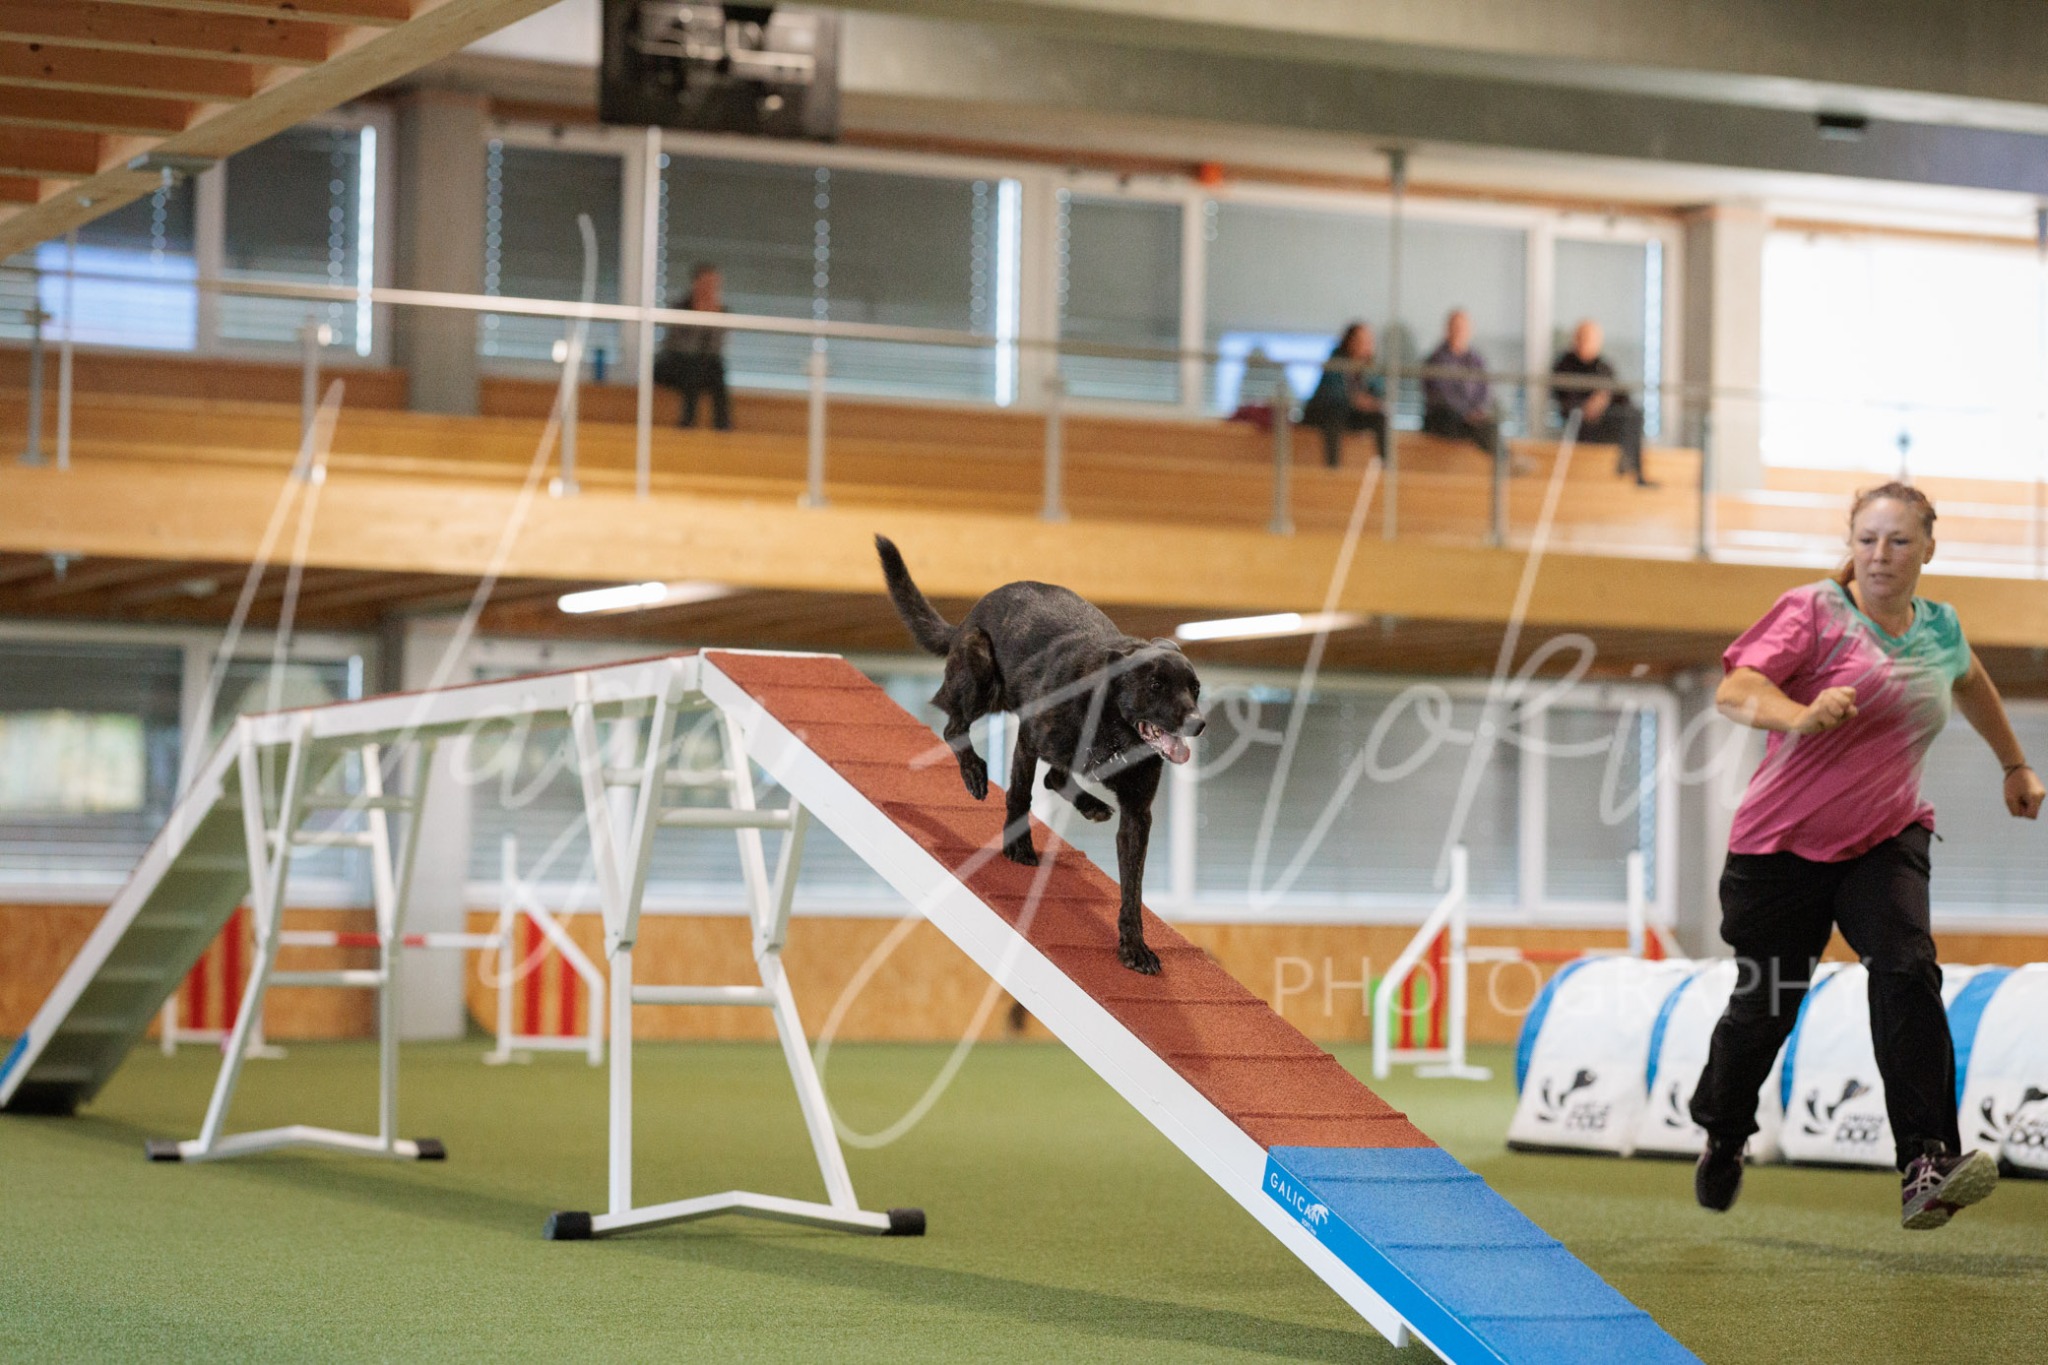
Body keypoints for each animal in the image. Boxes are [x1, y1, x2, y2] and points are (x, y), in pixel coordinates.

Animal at [875, 535, 1204, 974]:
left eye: (1195, 689)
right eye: (1155, 685)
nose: (1199, 723)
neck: (1111, 722)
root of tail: (967, 618)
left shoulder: (1137, 813)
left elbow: (1133, 889)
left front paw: (1134, 946)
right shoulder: (1030, 738)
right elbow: (1019, 794)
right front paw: (1018, 846)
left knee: (1055, 776)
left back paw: (1091, 805)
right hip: (980, 670)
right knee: (954, 728)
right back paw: (974, 772)